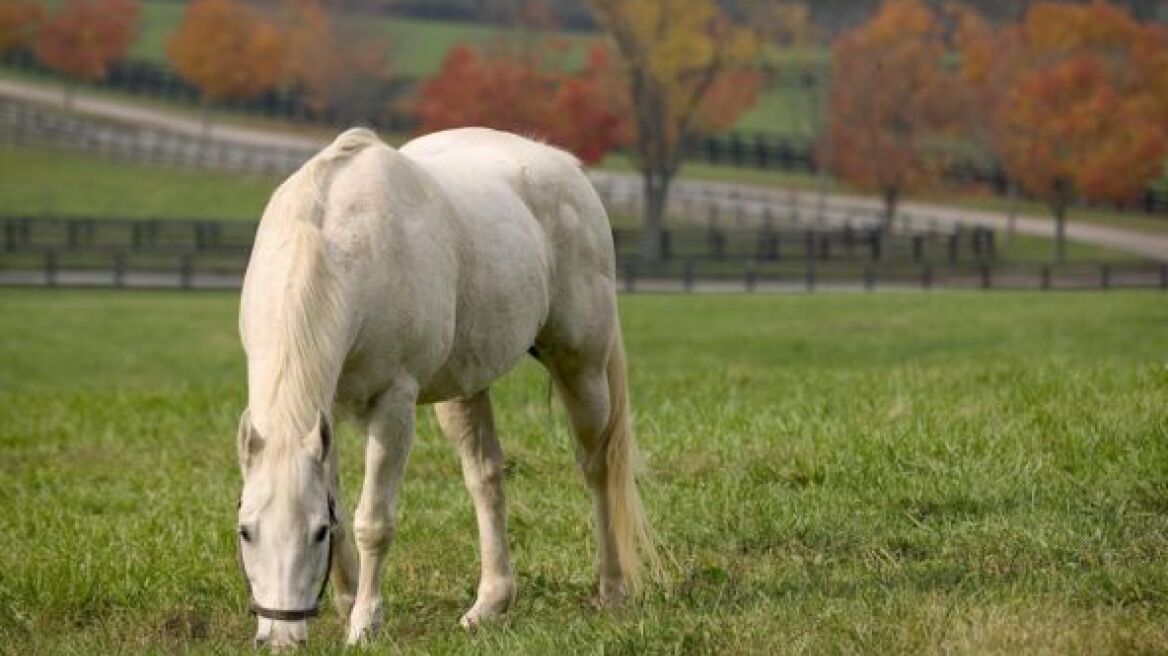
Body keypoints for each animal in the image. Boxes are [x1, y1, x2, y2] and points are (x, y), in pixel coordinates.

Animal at [232, 126, 654, 644]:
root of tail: (566, 166)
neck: (339, 244)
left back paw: (612, 589)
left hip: (582, 368)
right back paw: (489, 604)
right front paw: (348, 604)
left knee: (598, 468)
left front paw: (364, 623)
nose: (281, 638)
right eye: (246, 531)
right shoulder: (323, 412)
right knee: (486, 478)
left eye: (315, 533)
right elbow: (342, 506)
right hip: (465, 389)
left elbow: (373, 521)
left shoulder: (393, 404)